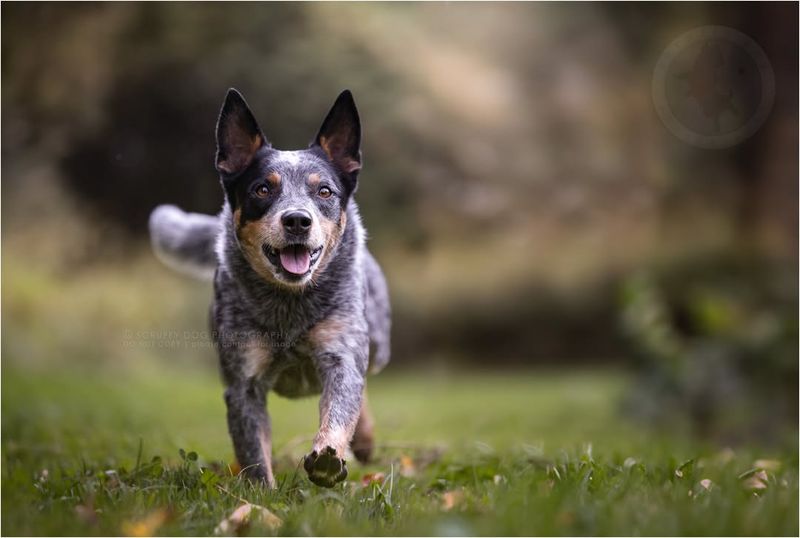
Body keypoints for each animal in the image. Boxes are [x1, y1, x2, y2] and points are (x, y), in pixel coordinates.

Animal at [149, 89, 390, 486]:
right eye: (262, 189)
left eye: (324, 191)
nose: (297, 220)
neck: (289, 308)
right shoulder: (243, 382)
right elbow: (253, 452)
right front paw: (261, 493)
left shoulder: (340, 353)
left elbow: (341, 409)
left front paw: (328, 457)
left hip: (378, 342)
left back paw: (365, 440)